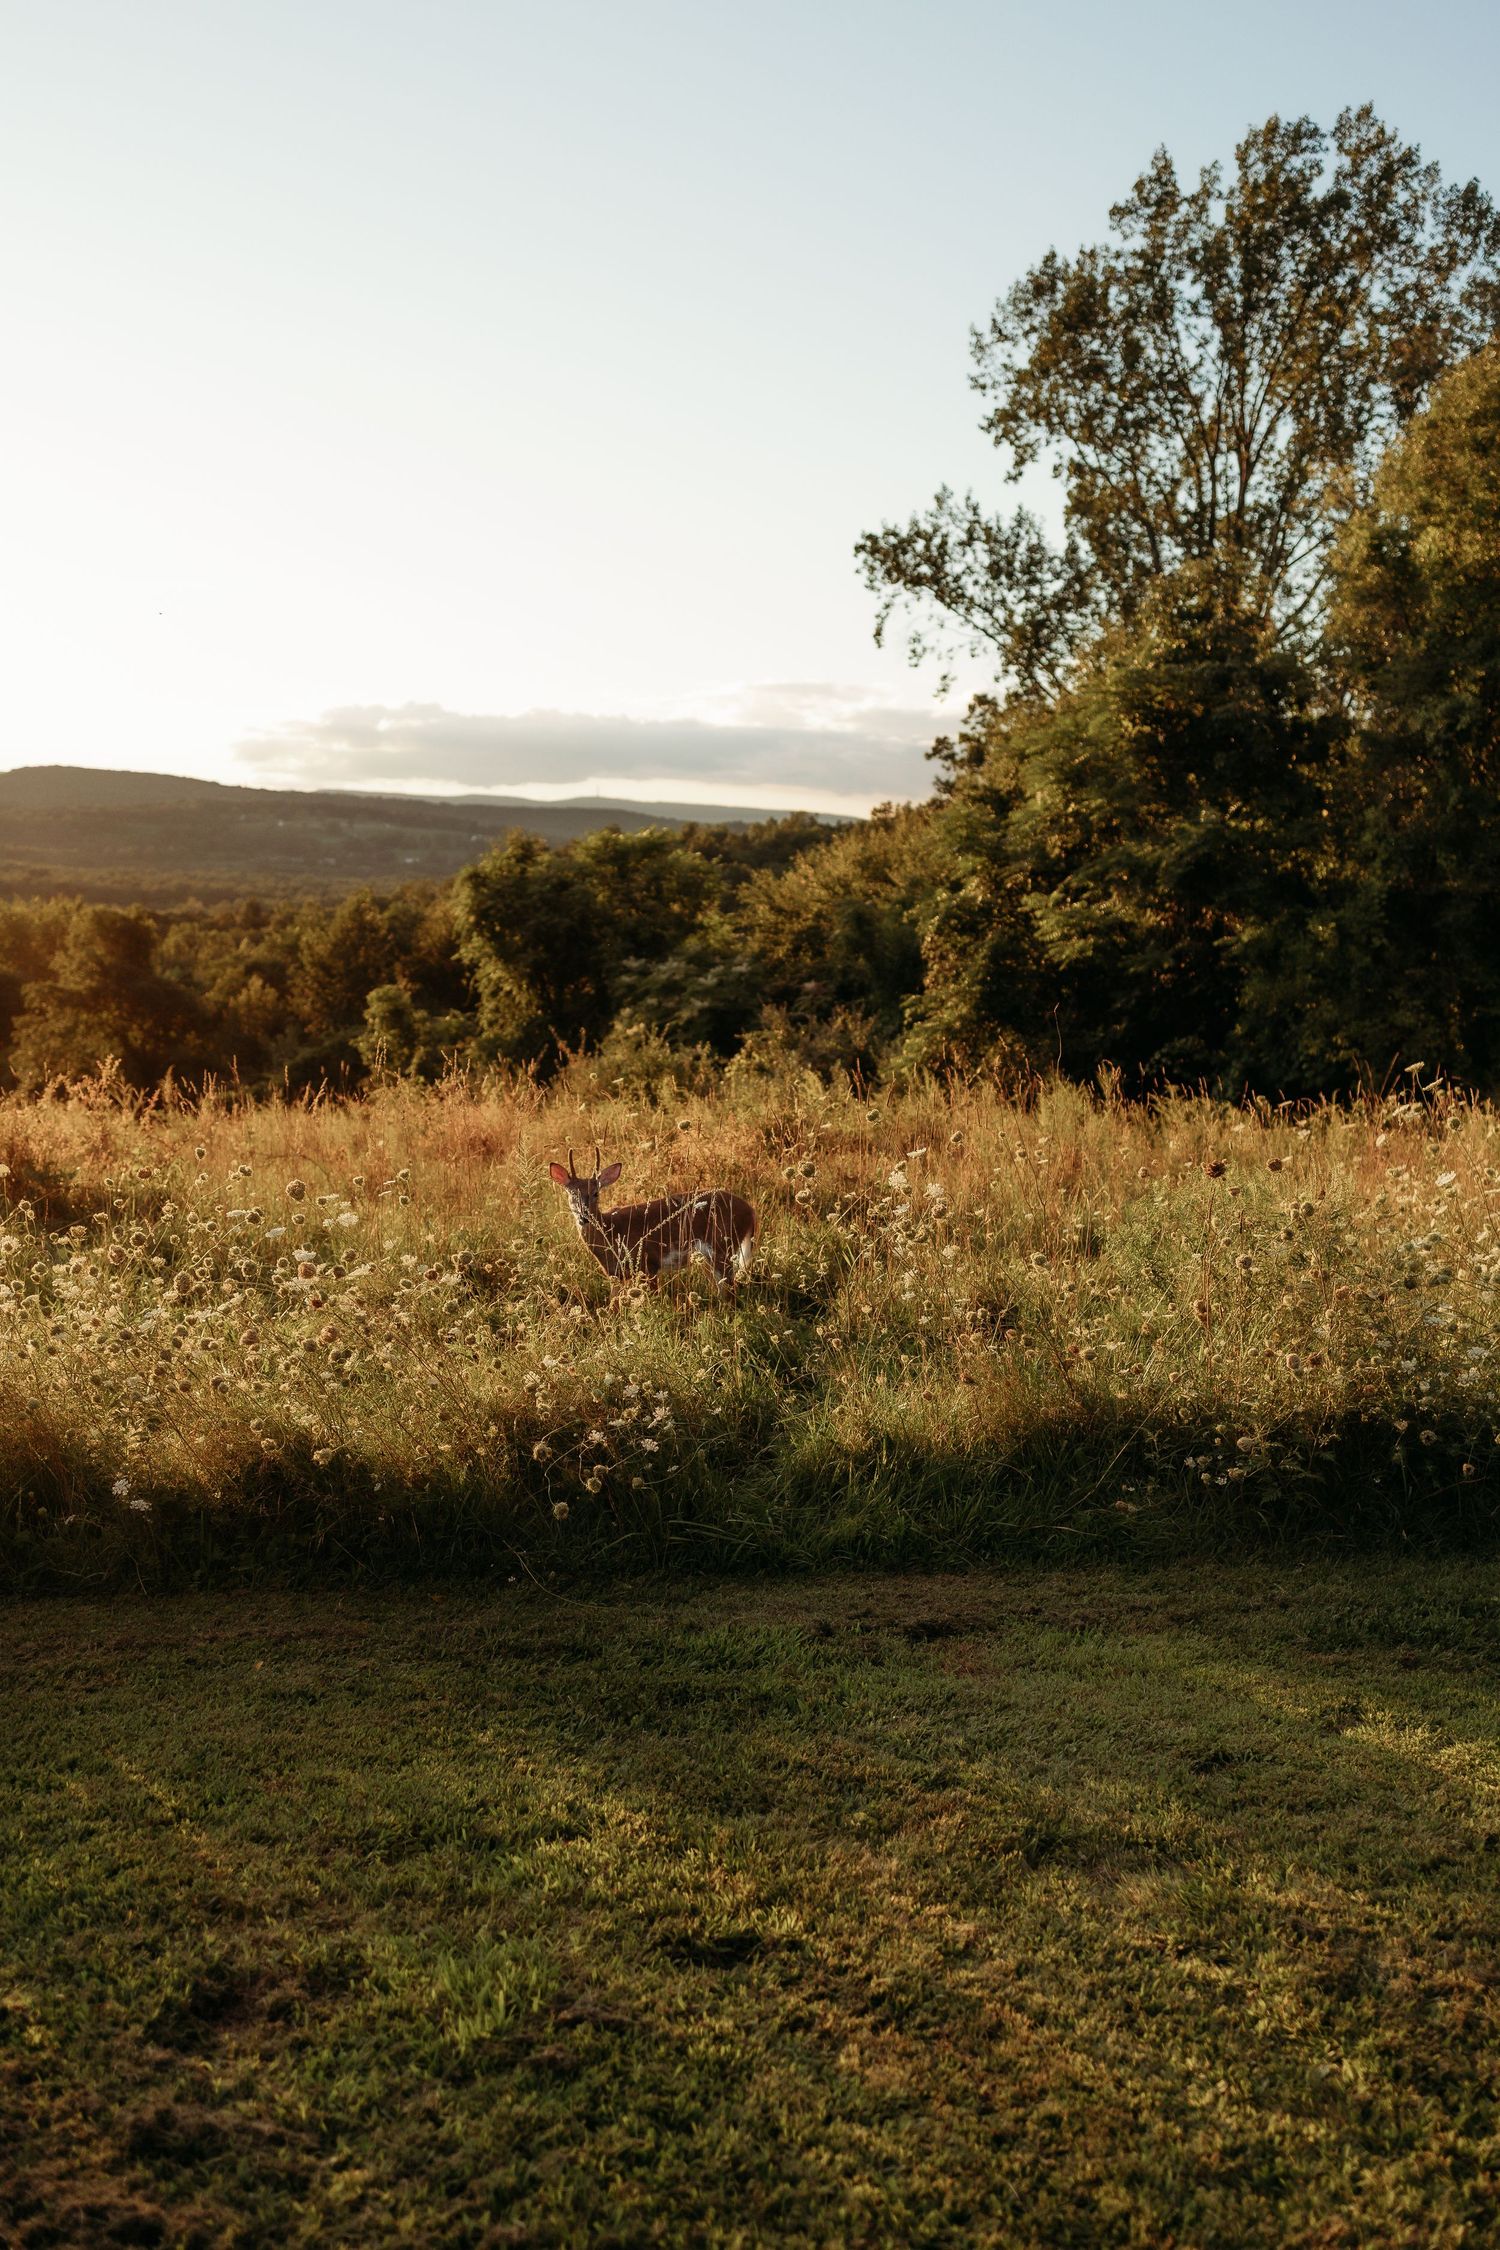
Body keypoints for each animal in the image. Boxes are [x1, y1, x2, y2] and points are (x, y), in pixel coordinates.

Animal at [549, 1146, 756, 1291]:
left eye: (596, 1193)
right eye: (571, 1194)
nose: (584, 1217)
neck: (611, 1232)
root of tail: (751, 1210)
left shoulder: (648, 1264)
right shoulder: (615, 1275)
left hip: (722, 1246)